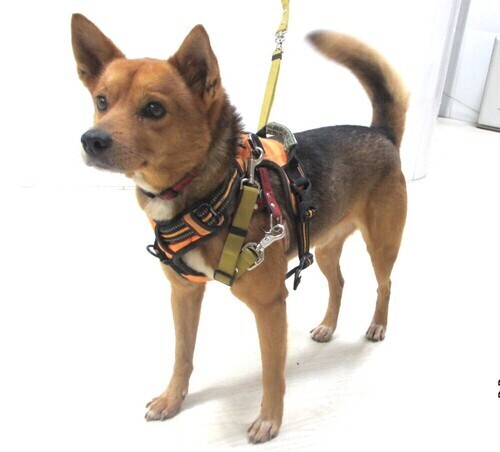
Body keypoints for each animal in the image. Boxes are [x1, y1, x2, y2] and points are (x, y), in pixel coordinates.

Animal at [71, 13, 408, 443]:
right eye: (101, 101)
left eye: (154, 108)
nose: (91, 140)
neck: (212, 191)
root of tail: (381, 133)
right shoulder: (183, 294)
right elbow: (182, 355)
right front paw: (172, 400)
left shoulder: (270, 306)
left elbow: (272, 372)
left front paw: (270, 420)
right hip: (324, 245)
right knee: (339, 283)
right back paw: (329, 326)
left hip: (382, 244)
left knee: (385, 283)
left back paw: (378, 325)